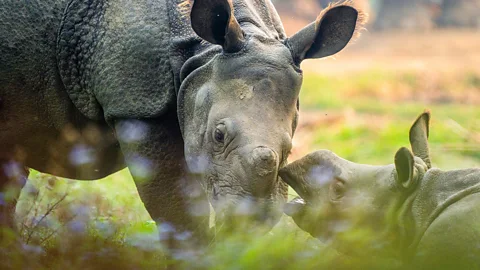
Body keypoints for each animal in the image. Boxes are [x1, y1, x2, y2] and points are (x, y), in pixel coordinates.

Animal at [0, 0, 364, 240]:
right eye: (218, 136)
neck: (200, 54)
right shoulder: (139, 104)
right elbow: (177, 210)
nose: (249, 222)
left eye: (289, 148)